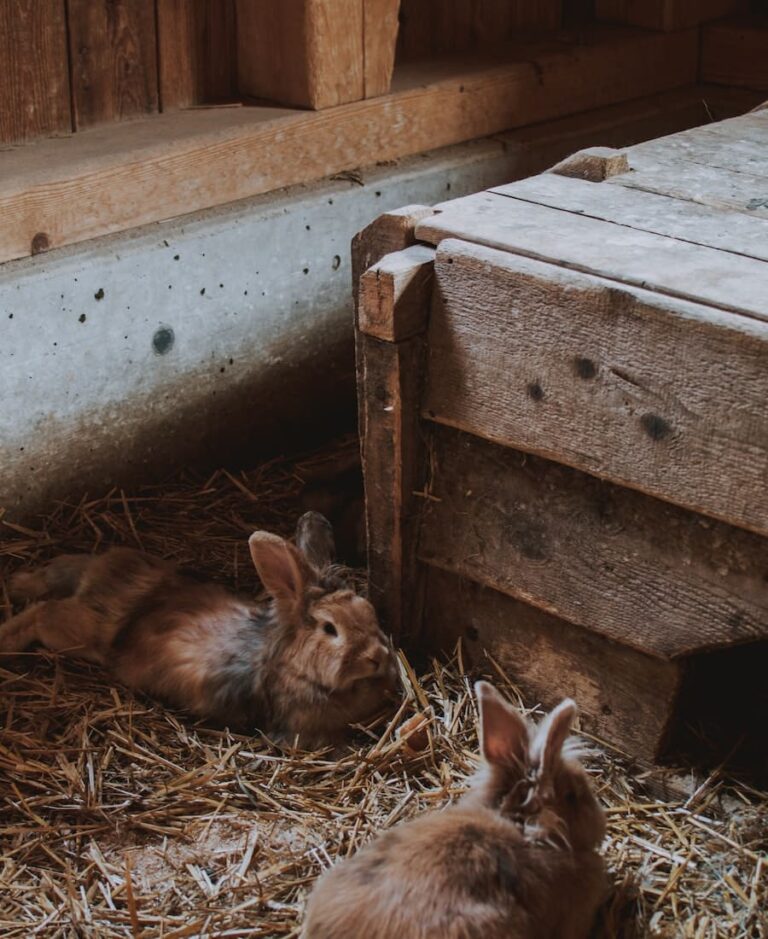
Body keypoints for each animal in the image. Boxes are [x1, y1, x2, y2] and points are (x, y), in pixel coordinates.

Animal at [0, 511, 399, 747]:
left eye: (369, 612)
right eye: (330, 629)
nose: (377, 657)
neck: (295, 668)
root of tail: (100, 574)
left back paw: (16, 584)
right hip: (78, 632)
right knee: (42, 612)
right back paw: (7, 638)